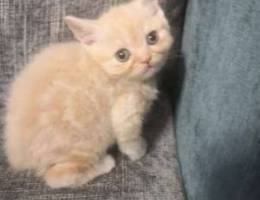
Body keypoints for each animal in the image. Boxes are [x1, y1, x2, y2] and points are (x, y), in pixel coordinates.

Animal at [3, 0, 173, 188]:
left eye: (152, 38)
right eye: (122, 55)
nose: (146, 59)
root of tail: (18, 157)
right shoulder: (126, 111)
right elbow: (129, 138)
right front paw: (139, 151)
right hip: (86, 142)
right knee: (56, 178)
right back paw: (104, 164)